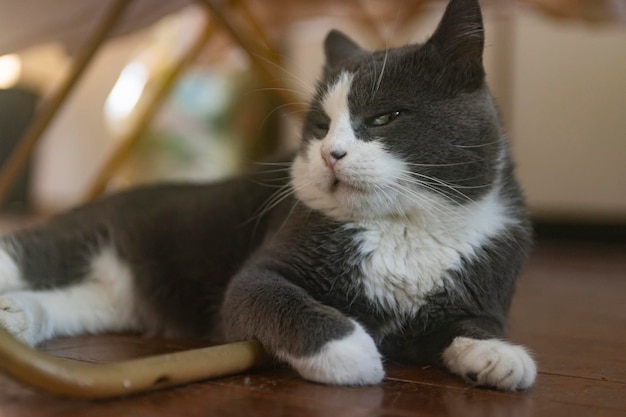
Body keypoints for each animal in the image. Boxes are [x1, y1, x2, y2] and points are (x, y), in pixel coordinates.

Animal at [1, 0, 532, 390]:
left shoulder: (482, 284)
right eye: (319, 126)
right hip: (83, 234)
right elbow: (275, 298)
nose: (331, 154)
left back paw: (16, 317)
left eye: (385, 117)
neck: (405, 226)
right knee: (29, 253)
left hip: (113, 297)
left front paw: (498, 356)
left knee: (67, 299)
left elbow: (472, 326)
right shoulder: (263, 270)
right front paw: (352, 352)